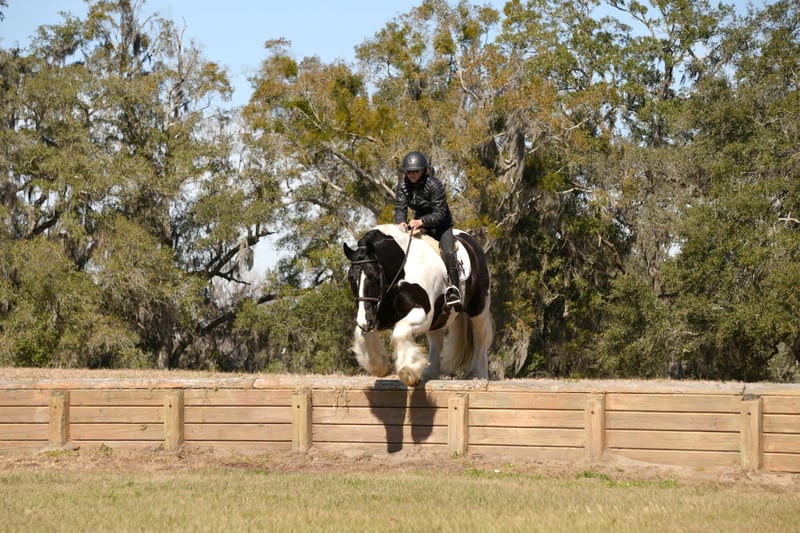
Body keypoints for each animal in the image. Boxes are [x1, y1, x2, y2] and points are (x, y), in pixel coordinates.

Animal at [343, 223, 494, 386]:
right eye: (351, 278)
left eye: (374, 277)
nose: (366, 322)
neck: (401, 272)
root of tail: (472, 242)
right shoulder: (380, 316)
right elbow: (361, 334)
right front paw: (379, 366)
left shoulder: (423, 314)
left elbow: (400, 331)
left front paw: (409, 372)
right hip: (438, 317)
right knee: (436, 338)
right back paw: (430, 372)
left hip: (478, 308)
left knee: (480, 335)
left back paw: (477, 374)